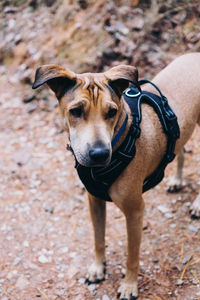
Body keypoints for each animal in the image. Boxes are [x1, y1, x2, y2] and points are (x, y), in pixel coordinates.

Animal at [32, 52, 200, 298]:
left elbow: (132, 255)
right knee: (181, 150)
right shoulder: (94, 201)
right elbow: (98, 238)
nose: (99, 154)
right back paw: (177, 180)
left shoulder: (135, 211)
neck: (122, 138)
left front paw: (129, 285)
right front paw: (98, 267)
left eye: (112, 112)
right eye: (76, 111)